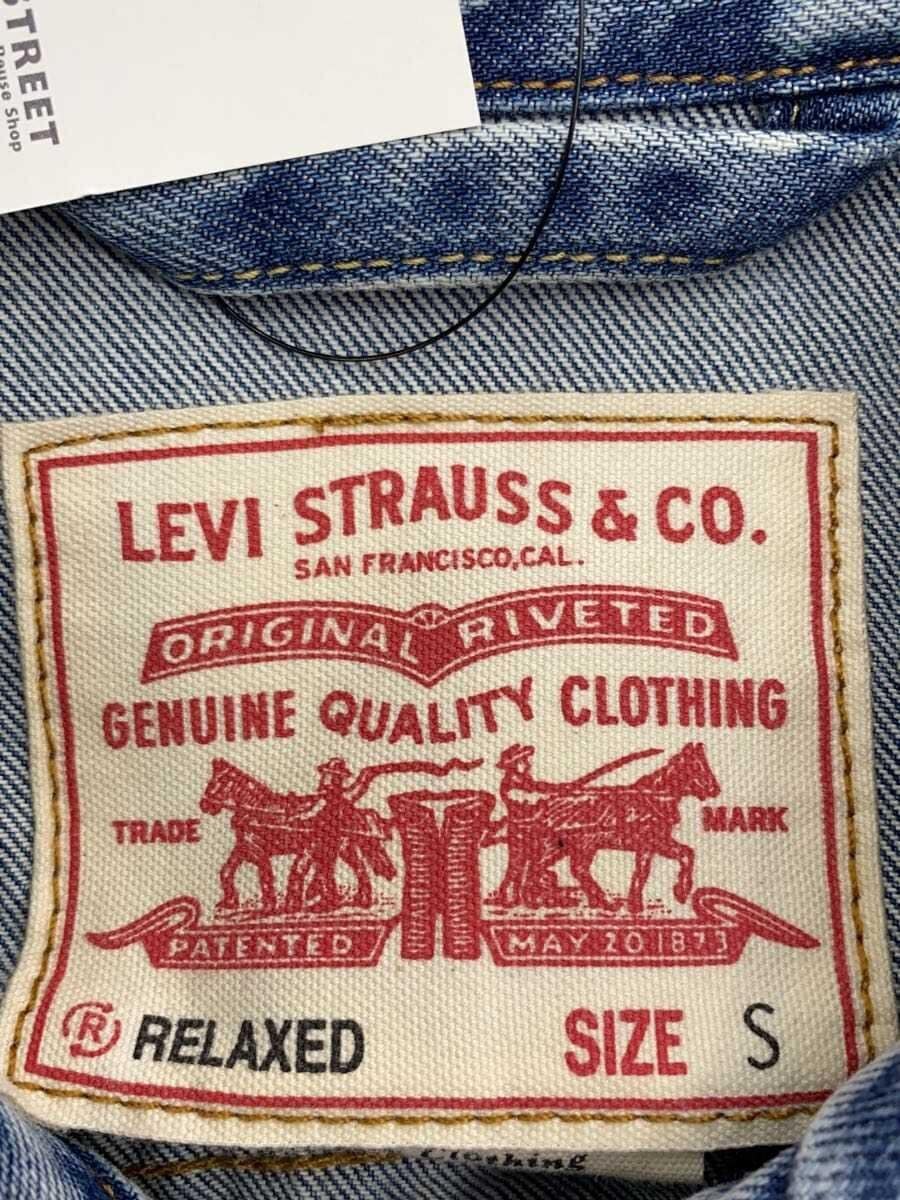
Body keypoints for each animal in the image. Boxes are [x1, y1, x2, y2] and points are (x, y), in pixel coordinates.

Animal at [199, 758, 394, 914]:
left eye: (218, 782)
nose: (204, 805)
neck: (256, 811)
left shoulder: (258, 851)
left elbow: (266, 875)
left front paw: (269, 907)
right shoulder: (243, 847)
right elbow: (226, 871)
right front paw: (229, 902)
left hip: (335, 847)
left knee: (353, 867)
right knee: (344, 868)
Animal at [501, 743, 720, 914]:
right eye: (697, 766)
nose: (715, 790)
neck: (653, 798)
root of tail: (544, 806)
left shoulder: (658, 842)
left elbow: (684, 854)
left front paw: (678, 893)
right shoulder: (650, 842)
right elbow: (647, 869)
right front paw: (640, 904)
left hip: (567, 847)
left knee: (549, 867)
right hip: (576, 845)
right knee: (556, 868)